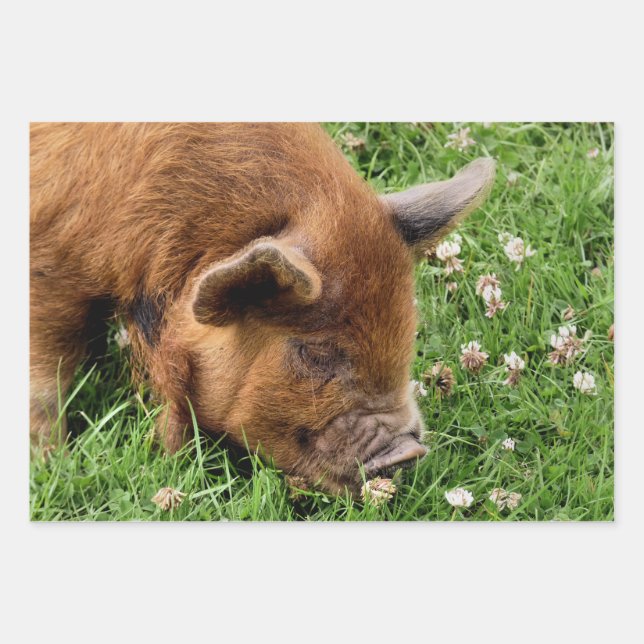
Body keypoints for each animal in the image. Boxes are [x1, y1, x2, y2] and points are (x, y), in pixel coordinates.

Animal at [30, 123, 495, 494]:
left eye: (407, 332)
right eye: (315, 351)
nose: (409, 450)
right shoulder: (50, 268)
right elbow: (45, 381)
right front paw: (51, 459)